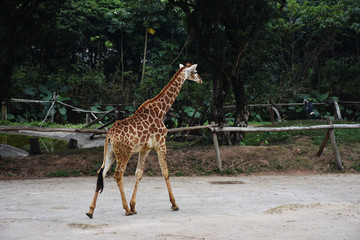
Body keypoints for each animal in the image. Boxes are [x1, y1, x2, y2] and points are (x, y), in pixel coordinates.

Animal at [85, 62, 201, 218]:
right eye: (195, 71)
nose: (200, 80)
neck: (161, 110)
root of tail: (109, 135)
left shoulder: (145, 149)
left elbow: (138, 174)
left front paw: (134, 206)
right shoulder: (161, 143)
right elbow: (165, 172)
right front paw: (174, 204)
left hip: (110, 153)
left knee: (101, 173)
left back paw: (90, 210)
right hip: (124, 153)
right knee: (117, 175)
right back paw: (126, 209)